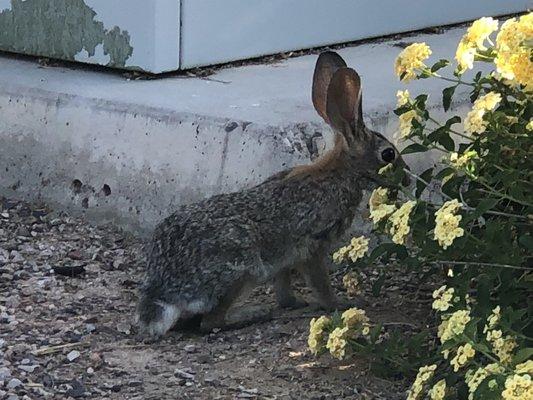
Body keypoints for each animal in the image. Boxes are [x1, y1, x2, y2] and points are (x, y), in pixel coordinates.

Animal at [136, 50, 408, 338]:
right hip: (243, 270)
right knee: (211, 323)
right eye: (388, 154)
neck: (340, 173)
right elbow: (319, 282)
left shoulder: (285, 259)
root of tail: (164, 292)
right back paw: (254, 314)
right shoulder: (313, 245)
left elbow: (284, 284)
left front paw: (293, 302)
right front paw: (339, 303)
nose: (407, 176)